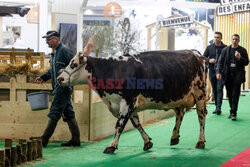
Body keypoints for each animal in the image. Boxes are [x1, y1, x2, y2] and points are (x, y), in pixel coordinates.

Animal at [57, 41, 208, 154]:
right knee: (180, 113)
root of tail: (196, 53)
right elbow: (136, 123)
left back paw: (200, 141)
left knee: (201, 116)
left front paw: (111, 146)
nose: (59, 78)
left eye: (73, 64)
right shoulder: (129, 105)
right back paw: (174, 137)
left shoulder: (127, 102)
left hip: (200, 94)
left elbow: (120, 124)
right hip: (177, 97)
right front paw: (147, 142)